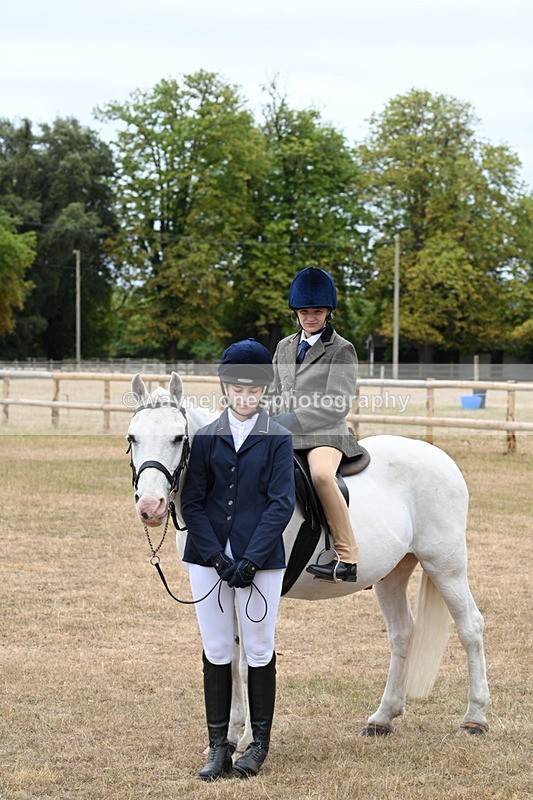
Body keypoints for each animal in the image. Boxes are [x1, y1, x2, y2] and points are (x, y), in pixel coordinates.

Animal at [126, 372, 490, 750]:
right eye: (132, 437)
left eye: (178, 438)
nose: (150, 507)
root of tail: (442, 459)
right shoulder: (220, 584)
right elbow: (232, 656)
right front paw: (229, 736)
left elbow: (248, 661)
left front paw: (246, 739)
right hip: (393, 574)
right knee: (402, 633)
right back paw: (382, 717)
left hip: (445, 565)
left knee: (470, 627)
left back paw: (475, 717)